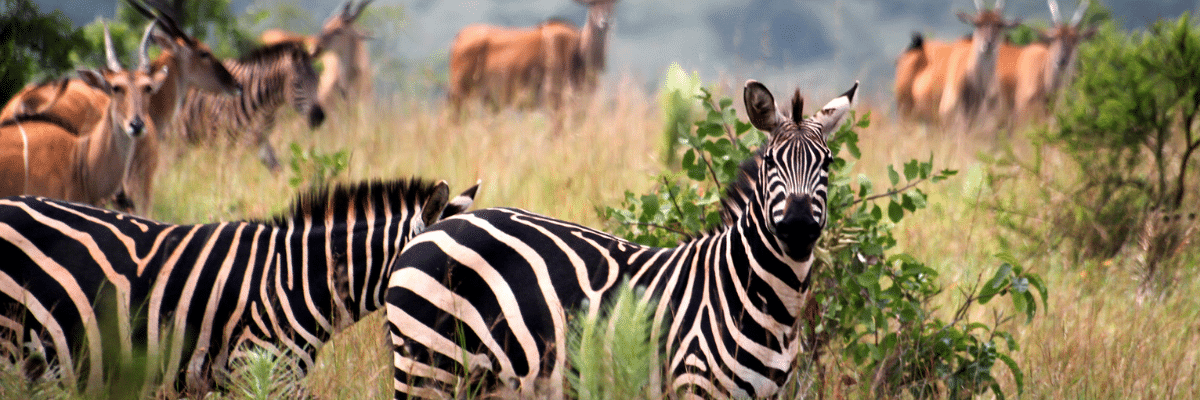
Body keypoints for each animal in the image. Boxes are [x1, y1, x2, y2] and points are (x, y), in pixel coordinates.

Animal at [172, 42, 325, 173]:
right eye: (297, 83)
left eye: (318, 80)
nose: (319, 117)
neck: (265, 108)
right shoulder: (225, 143)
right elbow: (228, 176)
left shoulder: (261, 139)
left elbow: (278, 170)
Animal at [386, 80, 858, 399]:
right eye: (772, 163)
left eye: (828, 163)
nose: (798, 227)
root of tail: (433, 228)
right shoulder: (692, 383)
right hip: (428, 364)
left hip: (477, 377)